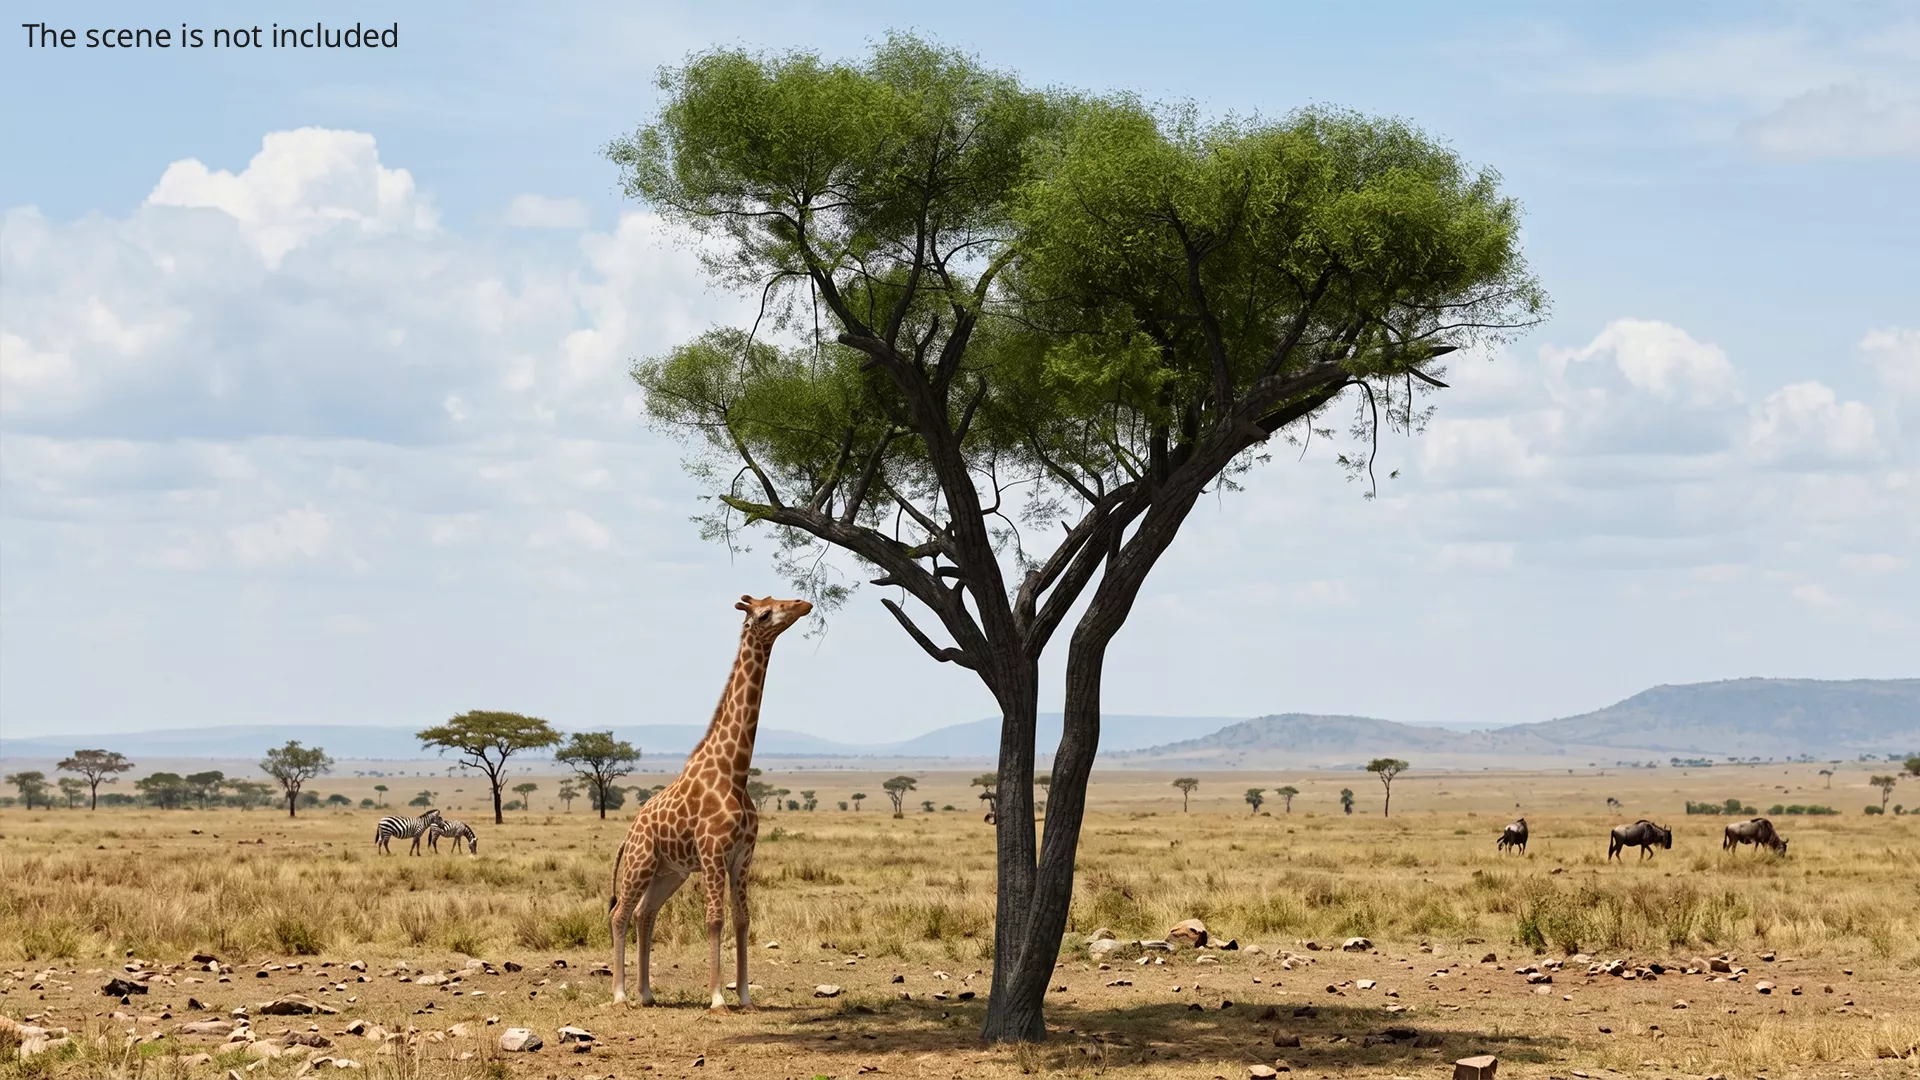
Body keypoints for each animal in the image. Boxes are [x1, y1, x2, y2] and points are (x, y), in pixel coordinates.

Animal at [609, 593, 813, 1011]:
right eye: (764, 613)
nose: (803, 604)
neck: (735, 771)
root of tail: (630, 832)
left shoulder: (743, 855)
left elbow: (743, 919)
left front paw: (746, 997)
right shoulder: (713, 851)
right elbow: (715, 919)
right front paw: (718, 997)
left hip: (670, 873)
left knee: (645, 914)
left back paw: (646, 993)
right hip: (641, 863)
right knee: (620, 914)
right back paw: (620, 993)